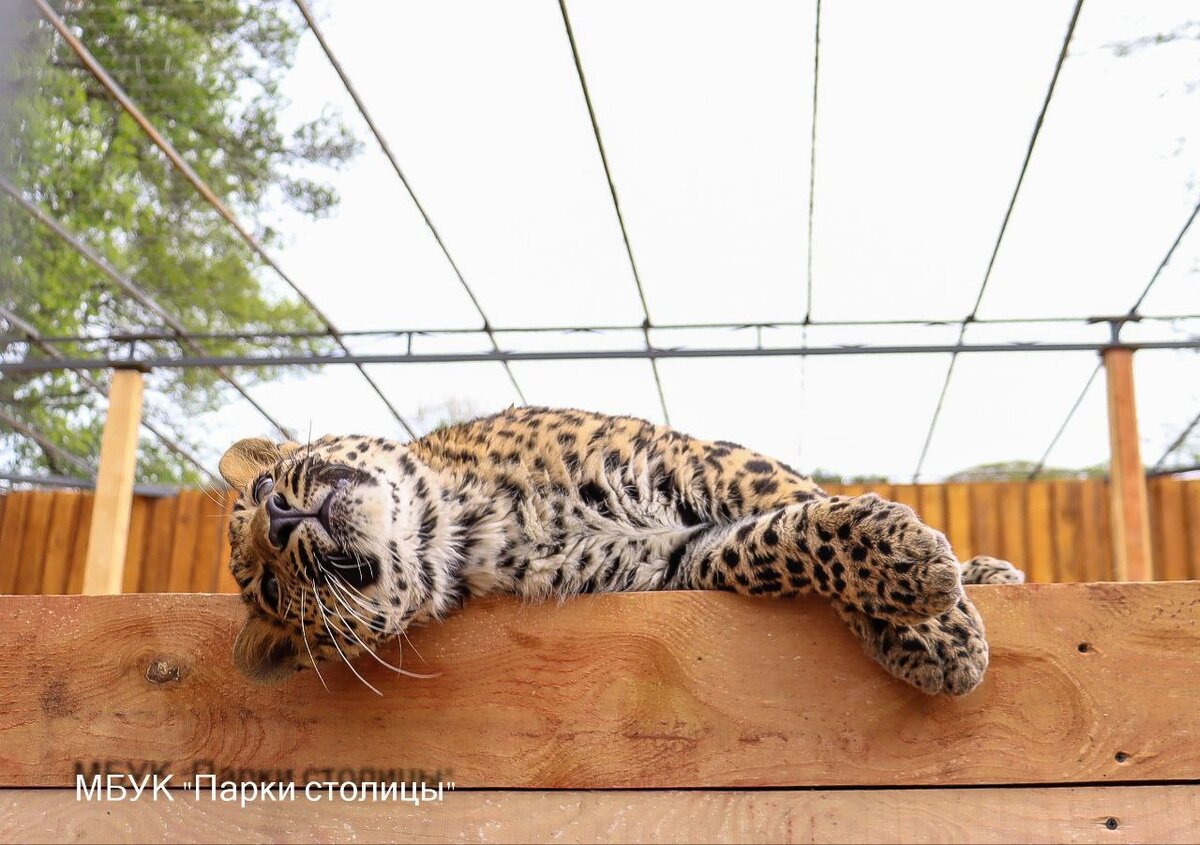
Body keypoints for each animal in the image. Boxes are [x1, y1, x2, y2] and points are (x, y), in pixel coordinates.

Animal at [223, 405, 1022, 696]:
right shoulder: (671, 565)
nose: (279, 519)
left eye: (262, 486)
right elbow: (775, 541)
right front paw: (931, 620)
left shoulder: (698, 460)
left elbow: (793, 495)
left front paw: (936, 621)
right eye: (271, 590)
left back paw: (990, 571)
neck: (465, 522)